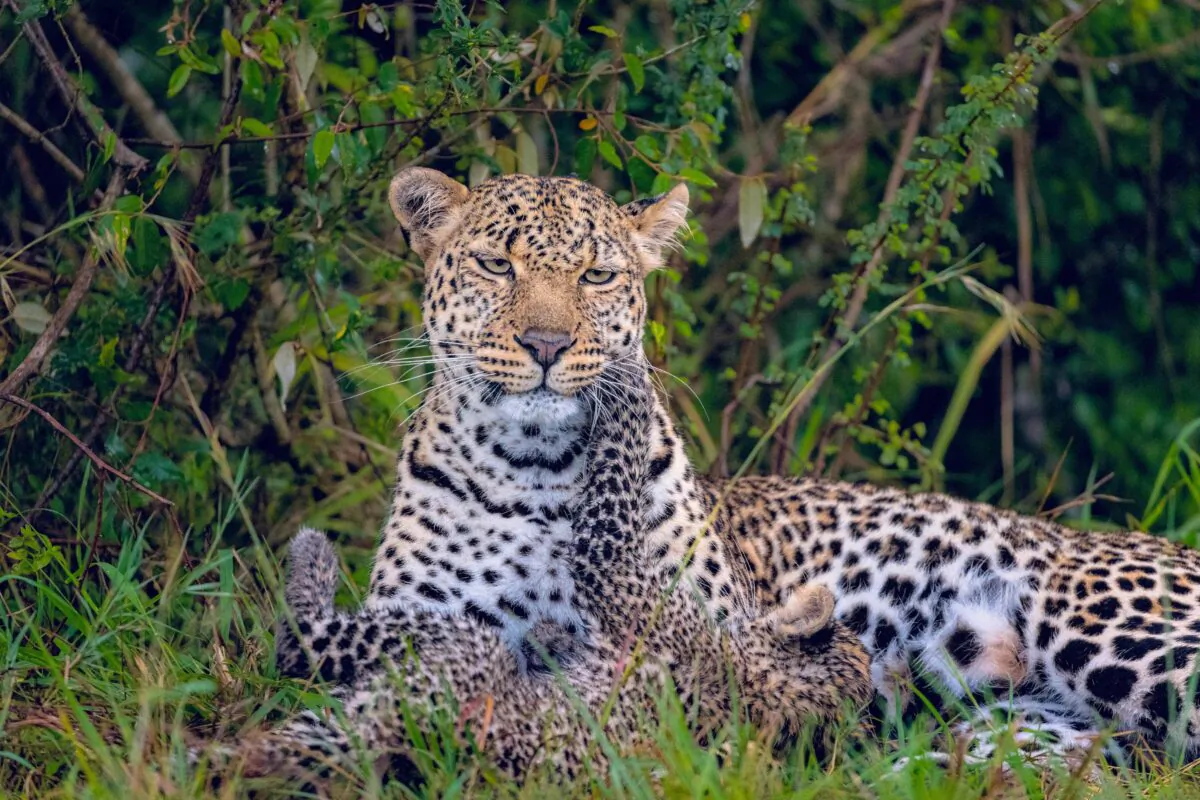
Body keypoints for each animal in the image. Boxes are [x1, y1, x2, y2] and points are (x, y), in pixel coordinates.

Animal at [209, 372, 870, 789]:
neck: (772, 692)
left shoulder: (619, 572)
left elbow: (613, 487)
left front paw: (630, 388)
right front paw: (553, 640)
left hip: (453, 649)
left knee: (303, 642)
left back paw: (309, 553)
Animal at [364, 166, 1200, 766]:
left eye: (597, 277)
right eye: (493, 266)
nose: (546, 344)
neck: (537, 470)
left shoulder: (704, 647)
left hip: (1095, 621)